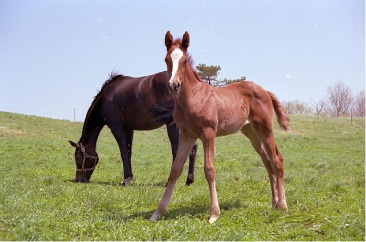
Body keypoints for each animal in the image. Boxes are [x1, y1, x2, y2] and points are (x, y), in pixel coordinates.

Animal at [68, 71, 197, 185]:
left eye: (78, 157)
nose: (79, 180)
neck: (105, 97)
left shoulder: (116, 127)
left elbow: (123, 152)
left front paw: (126, 179)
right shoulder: (128, 129)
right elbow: (129, 152)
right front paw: (130, 177)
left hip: (173, 125)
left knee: (176, 150)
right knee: (193, 149)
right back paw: (189, 180)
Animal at [150, 31, 290, 223]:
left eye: (184, 60)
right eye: (166, 59)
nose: (173, 85)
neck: (193, 97)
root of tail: (264, 90)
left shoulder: (208, 133)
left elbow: (210, 169)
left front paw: (214, 214)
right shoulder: (186, 135)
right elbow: (175, 169)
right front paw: (158, 213)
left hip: (265, 128)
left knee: (277, 160)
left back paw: (283, 205)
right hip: (251, 133)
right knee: (267, 161)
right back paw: (274, 202)